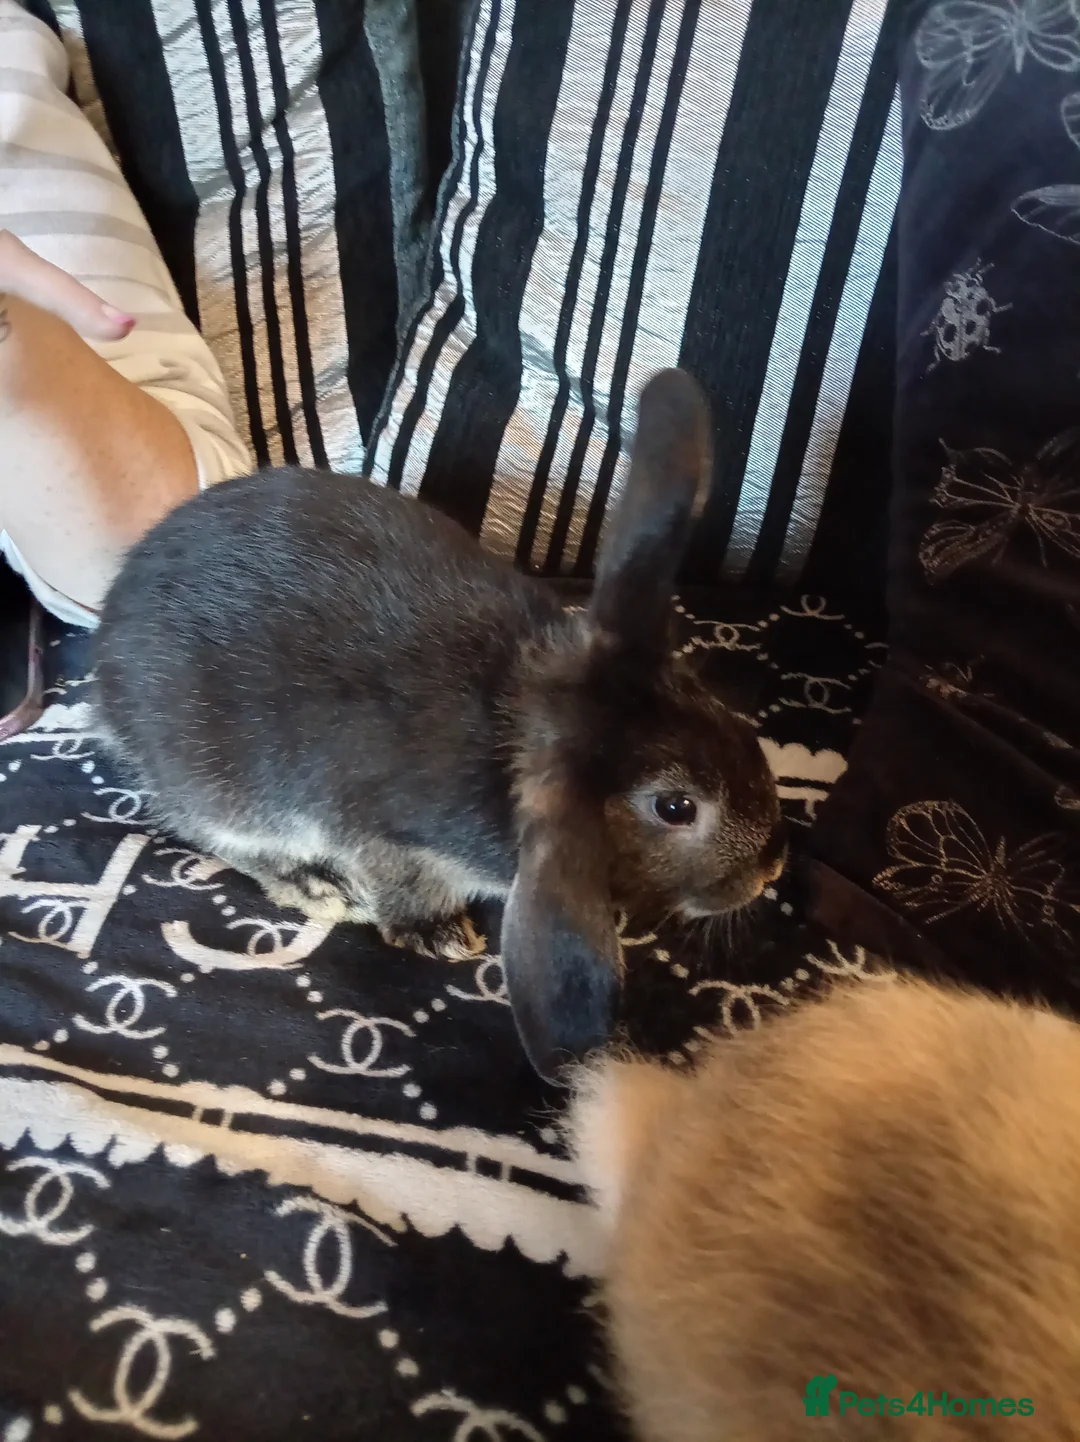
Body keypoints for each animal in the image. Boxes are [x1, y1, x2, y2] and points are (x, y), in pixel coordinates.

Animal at [92, 368, 784, 1080]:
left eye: (715, 704)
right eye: (676, 808)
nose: (773, 867)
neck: (521, 719)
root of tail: (107, 651)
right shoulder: (387, 838)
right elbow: (403, 888)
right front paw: (438, 935)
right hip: (224, 789)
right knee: (209, 831)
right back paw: (316, 884)